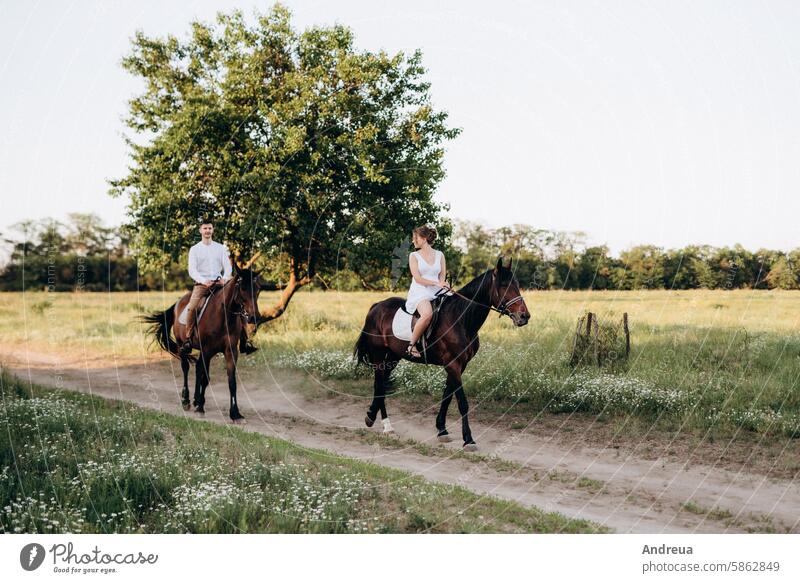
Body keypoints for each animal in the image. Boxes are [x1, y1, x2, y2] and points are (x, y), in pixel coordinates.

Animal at [140, 266, 260, 424]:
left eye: (258, 289)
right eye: (243, 288)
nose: (254, 317)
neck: (223, 316)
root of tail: (178, 303)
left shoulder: (231, 351)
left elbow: (231, 381)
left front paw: (235, 414)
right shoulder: (207, 350)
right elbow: (205, 378)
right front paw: (200, 407)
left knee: (197, 369)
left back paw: (196, 400)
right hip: (183, 346)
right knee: (186, 368)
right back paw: (186, 400)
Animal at [354, 256, 532, 452]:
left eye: (516, 284)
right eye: (504, 285)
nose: (524, 316)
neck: (461, 320)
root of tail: (377, 306)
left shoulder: (459, 365)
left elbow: (447, 396)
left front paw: (442, 430)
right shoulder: (452, 364)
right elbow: (462, 402)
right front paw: (468, 439)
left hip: (394, 357)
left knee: (382, 384)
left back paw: (375, 418)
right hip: (379, 355)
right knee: (379, 385)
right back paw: (384, 425)